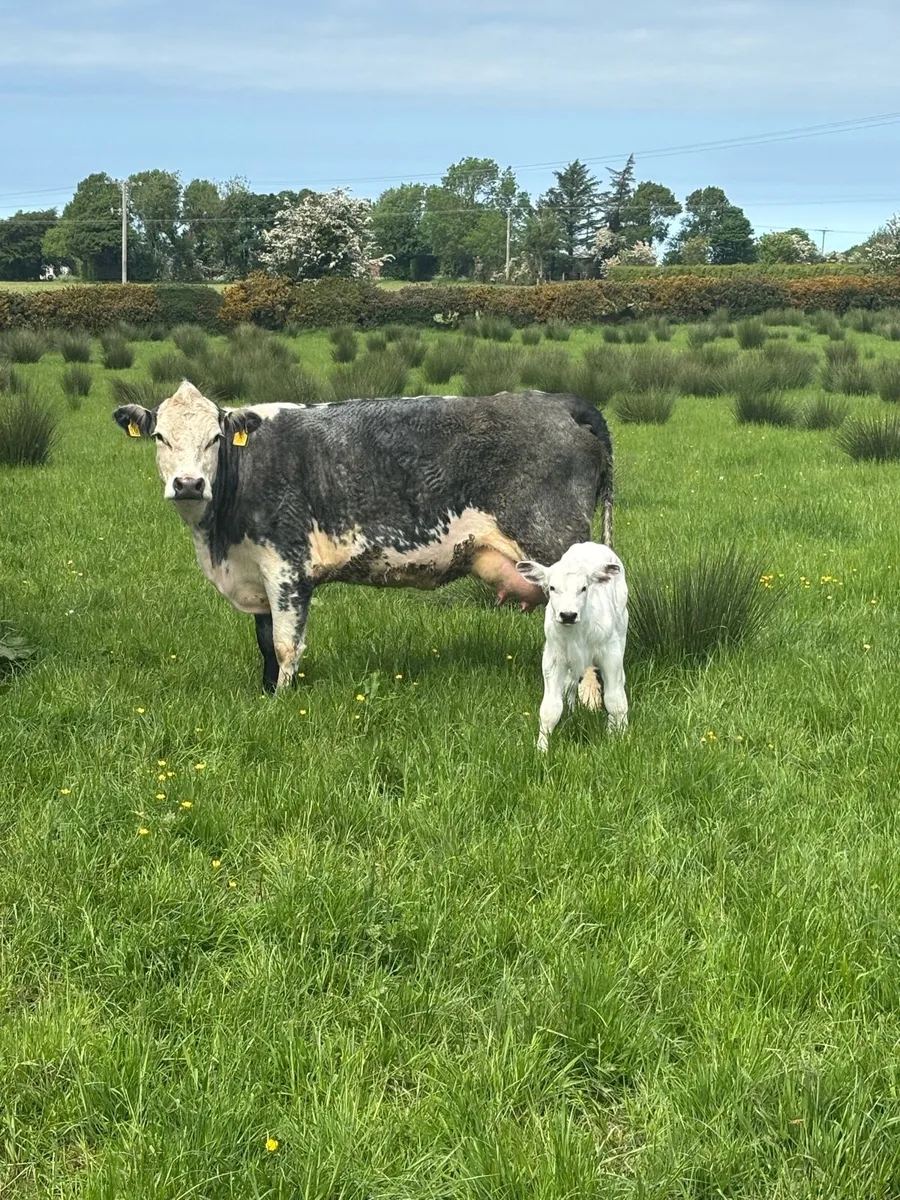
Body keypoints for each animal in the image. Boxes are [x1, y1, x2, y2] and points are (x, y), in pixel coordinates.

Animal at [113, 381, 614, 694]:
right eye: (160, 437)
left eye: (216, 438)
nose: (188, 484)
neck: (219, 541)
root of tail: (558, 402)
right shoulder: (256, 572)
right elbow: (265, 642)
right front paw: (266, 695)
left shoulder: (287, 566)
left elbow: (285, 644)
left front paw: (283, 704)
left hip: (557, 548)